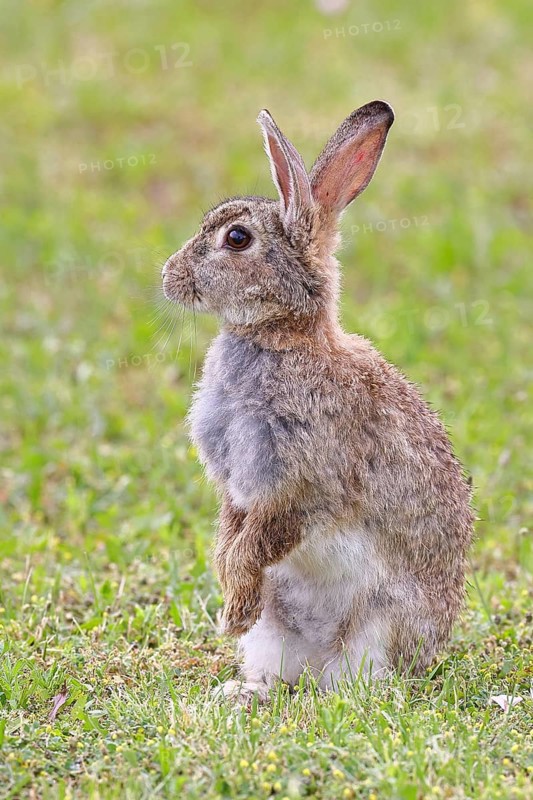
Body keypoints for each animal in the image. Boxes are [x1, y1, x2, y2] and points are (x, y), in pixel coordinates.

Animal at [162, 100, 474, 702]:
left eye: (237, 239)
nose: (168, 278)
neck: (282, 338)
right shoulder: (238, 489)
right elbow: (232, 536)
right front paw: (229, 603)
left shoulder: (304, 485)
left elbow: (261, 541)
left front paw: (232, 609)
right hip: (274, 631)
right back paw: (244, 694)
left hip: (377, 626)